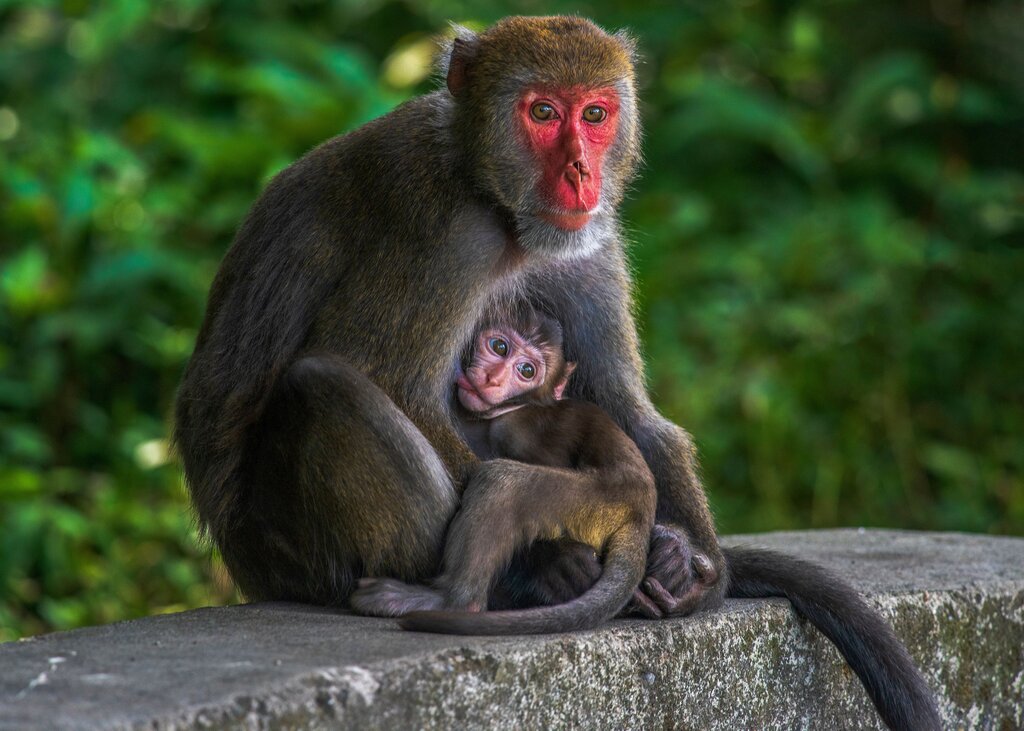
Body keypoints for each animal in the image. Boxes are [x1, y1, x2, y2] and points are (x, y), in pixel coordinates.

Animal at [352, 306, 657, 634]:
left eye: (527, 371)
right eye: (499, 346)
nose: (492, 379)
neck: (513, 407)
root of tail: (641, 510)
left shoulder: (519, 430)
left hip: (598, 503)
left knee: (500, 484)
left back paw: (452, 603)